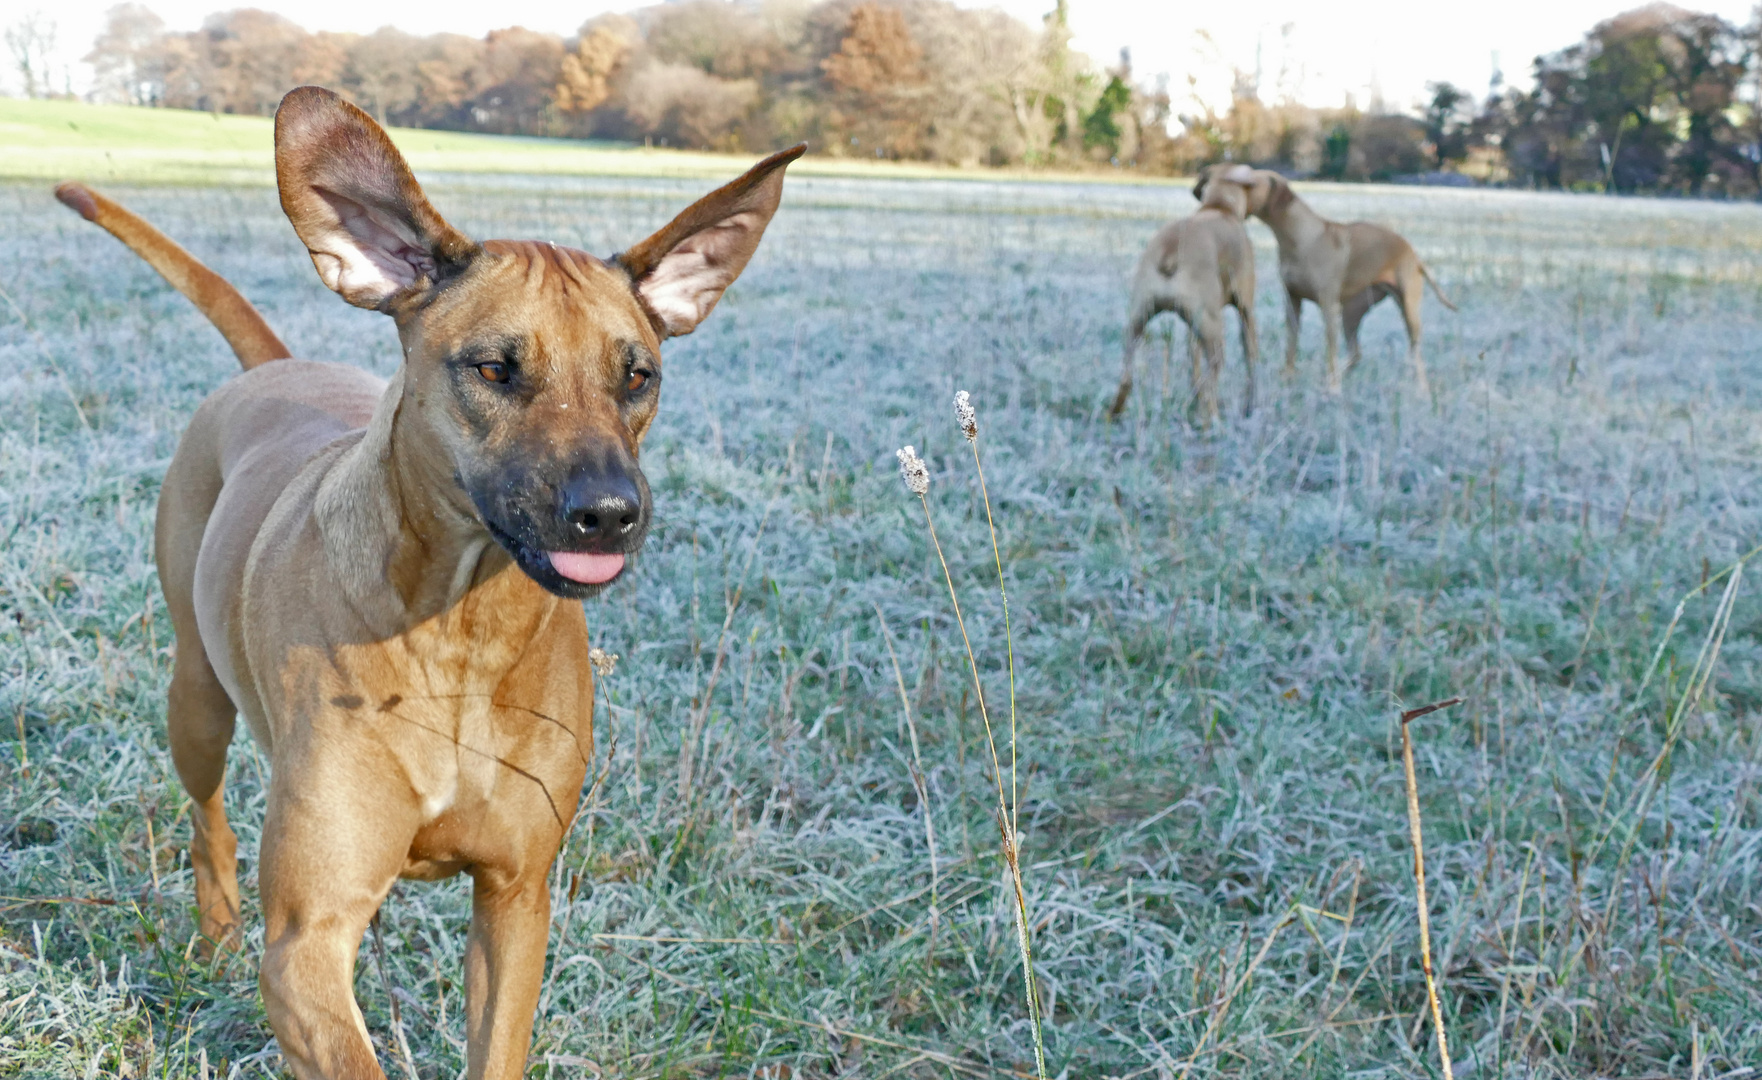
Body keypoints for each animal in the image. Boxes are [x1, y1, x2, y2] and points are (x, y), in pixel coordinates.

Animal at [53, 84, 799, 1078]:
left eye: (637, 375)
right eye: (493, 368)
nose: (611, 511)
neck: (461, 633)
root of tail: (276, 366)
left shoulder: (517, 899)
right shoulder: (306, 942)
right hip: (196, 699)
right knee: (207, 815)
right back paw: (211, 938)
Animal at [1106, 162, 1261, 422]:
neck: (1219, 207)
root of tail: (1170, 250)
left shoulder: (1193, 331)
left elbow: (1194, 366)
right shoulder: (1246, 310)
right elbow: (1251, 359)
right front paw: (1250, 407)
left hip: (1137, 322)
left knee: (1126, 377)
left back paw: (1115, 412)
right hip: (1214, 335)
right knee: (1210, 385)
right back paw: (1213, 420)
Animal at [1198, 170, 1458, 398]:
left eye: (1250, 183)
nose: (1210, 192)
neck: (1298, 237)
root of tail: (1414, 254)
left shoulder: (1328, 305)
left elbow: (1330, 352)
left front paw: (1334, 389)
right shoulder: (1292, 302)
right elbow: (1291, 345)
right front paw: (1289, 378)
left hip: (1407, 310)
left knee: (1415, 352)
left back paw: (1420, 389)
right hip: (1352, 313)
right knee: (1356, 353)